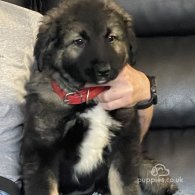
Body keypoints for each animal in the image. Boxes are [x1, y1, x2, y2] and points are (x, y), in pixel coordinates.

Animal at [21, 0, 178, 194]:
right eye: (79, 41)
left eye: (111, 38)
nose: (104, 70)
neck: (90, 96)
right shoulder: (42, 150)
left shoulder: (124, 143)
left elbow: (123, 185)